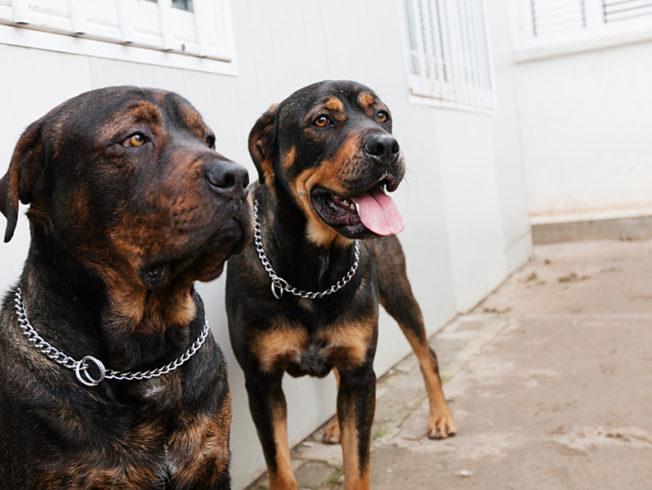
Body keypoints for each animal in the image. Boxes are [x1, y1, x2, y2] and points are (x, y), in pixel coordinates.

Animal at [227, 78, 456, 488]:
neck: (313, 274)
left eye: (382, 115)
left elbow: (358, 465)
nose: (387, 145)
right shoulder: (262, 382)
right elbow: (280, 468)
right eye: (322, 120)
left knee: (426, 354)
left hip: (399, 293)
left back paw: (440, 416)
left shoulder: (361, 374)